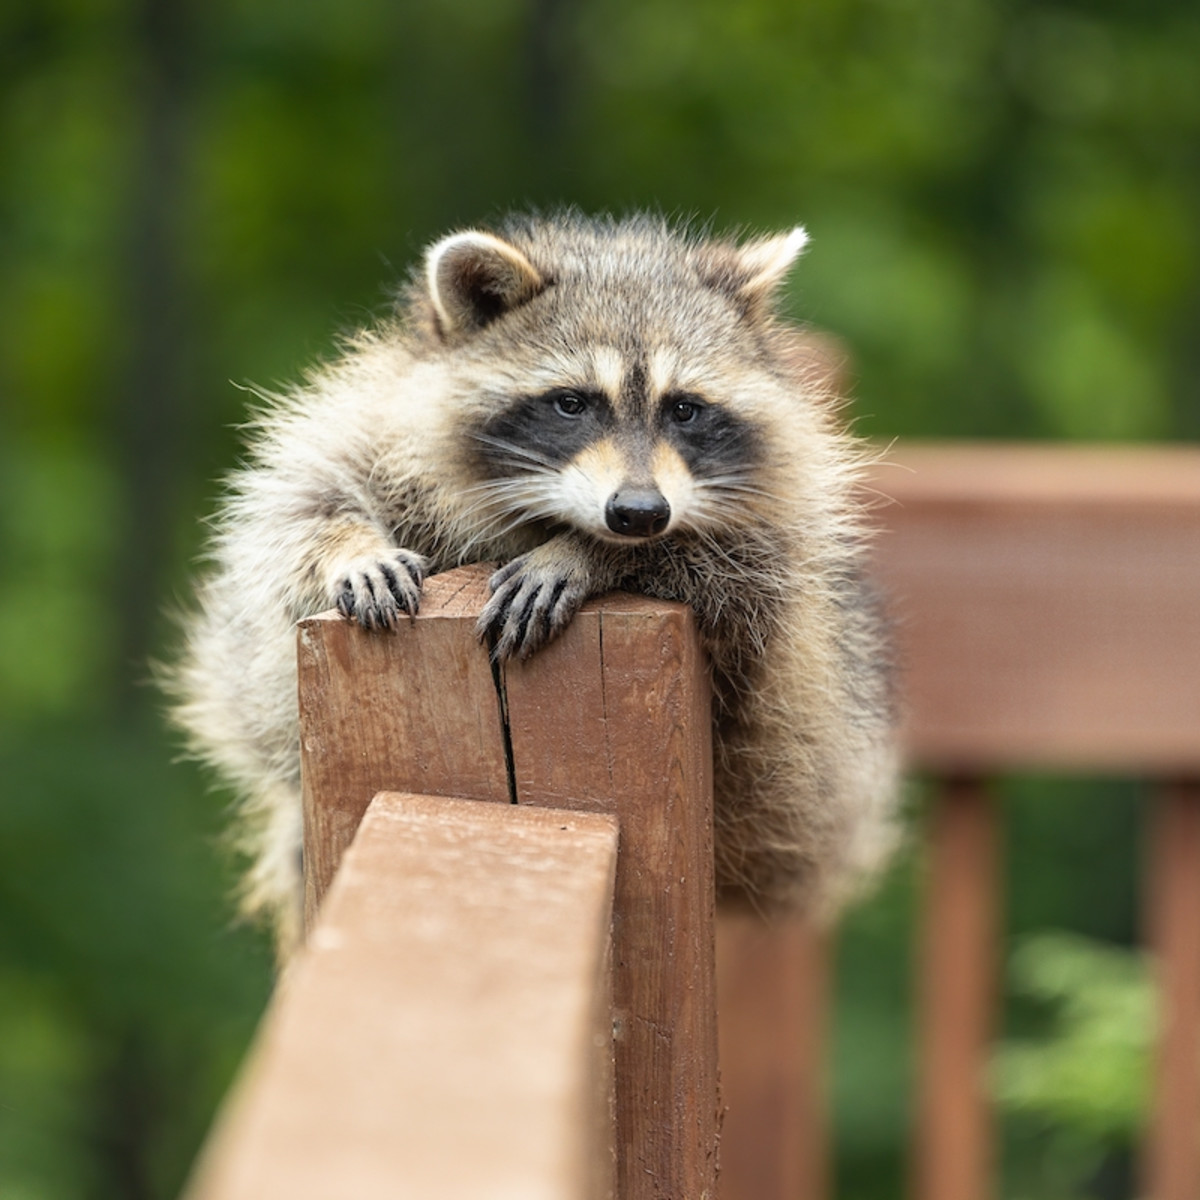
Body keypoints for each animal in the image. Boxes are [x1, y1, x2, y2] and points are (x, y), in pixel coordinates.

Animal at [169, 212, 899, 954]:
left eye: (684, 410)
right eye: (571, 403)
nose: (639, 513)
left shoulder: (780, 547)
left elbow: (739, 568)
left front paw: (586, 553)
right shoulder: (373, 417)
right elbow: (298, 502)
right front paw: (350, 547)